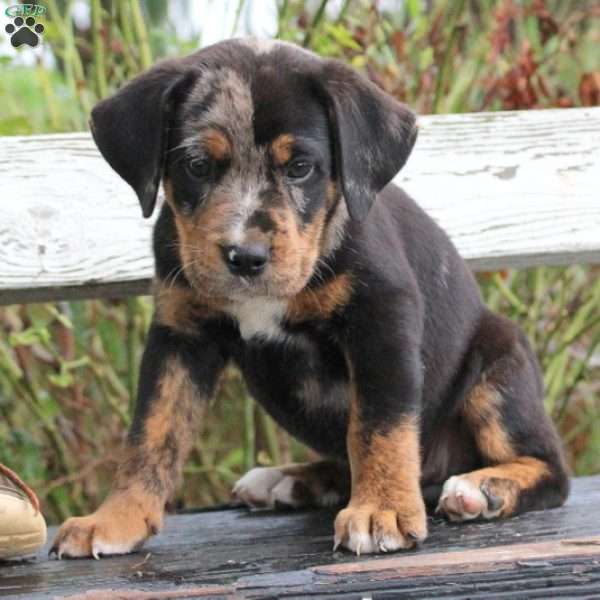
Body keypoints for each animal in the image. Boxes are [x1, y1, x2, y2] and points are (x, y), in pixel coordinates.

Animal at [50, 39, 568, 560]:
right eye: (197, 166)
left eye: (300, 168)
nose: (245, 256)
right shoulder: (181, 332)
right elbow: (152, 430)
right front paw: (115, 518)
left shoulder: (382, 318)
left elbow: (379, 424)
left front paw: (380, 510)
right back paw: (293, 481)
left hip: (497, 365)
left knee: (549, 467)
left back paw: (481, 489)